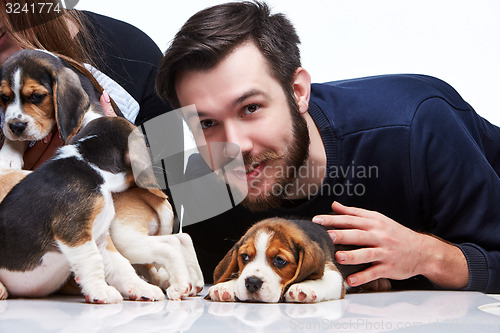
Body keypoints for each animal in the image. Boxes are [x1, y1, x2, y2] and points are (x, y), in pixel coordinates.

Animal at [207, 217, 348, 302]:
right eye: (245, 256)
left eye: (280, 260)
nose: (252, 282)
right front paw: (226, 286)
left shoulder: (333, 272)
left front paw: (304, 286)